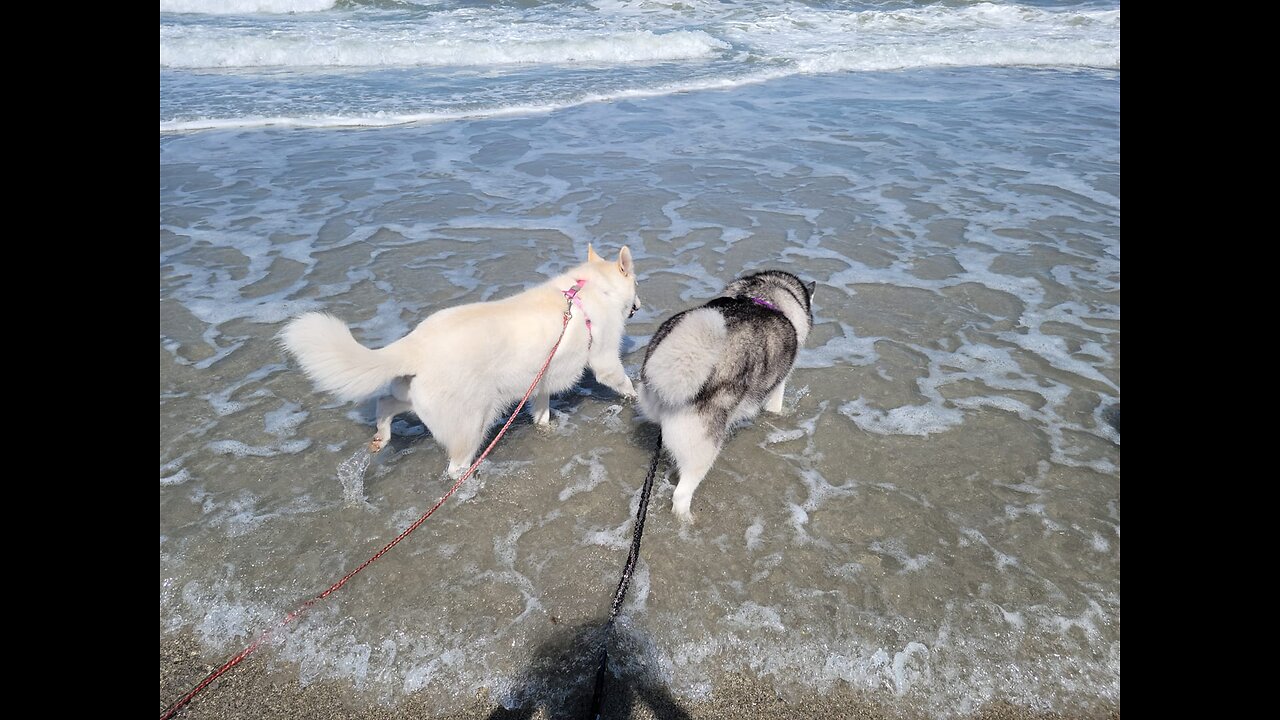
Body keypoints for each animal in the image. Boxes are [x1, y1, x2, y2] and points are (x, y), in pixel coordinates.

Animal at [281, 244, 640, 476]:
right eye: (636, 282)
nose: (639, 304)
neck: (589, 288)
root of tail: (415, 344)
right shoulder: (605, 361)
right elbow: (622, 381)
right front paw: (637, 398)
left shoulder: (540, 380)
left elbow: (541, 410)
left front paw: (544, 426)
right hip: (472, 420)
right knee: (456, 467)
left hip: (418, 398)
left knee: (385, 403)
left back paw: (381, 437)